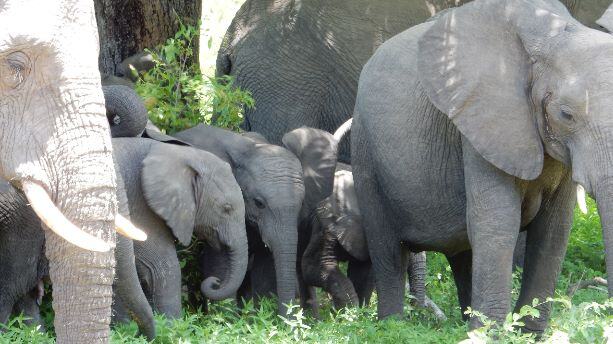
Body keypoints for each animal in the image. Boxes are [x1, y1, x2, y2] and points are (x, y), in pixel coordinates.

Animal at [350, 0, 613, 334]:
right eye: (566, 114)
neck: (555, 34)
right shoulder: (480, 118)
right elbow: (498, 220)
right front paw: (490, 335)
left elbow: (554, 230)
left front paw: (527, 335)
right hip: (365, 149)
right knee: (387, 248)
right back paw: (392, 326)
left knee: (463, 251)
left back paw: (465, 322)